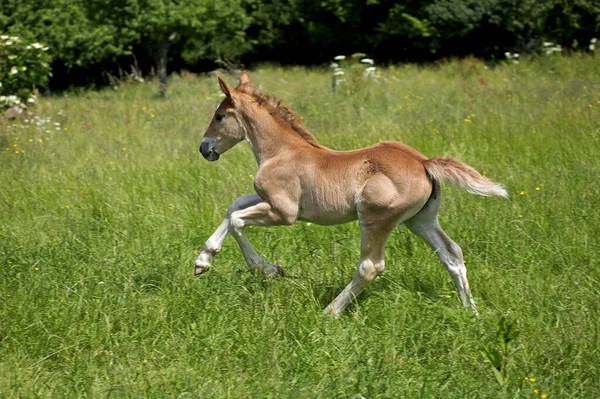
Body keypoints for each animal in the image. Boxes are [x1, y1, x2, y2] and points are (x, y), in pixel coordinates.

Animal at [196, 70, 506, 318]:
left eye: (219, 116)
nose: (204, 148)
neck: (282, 152)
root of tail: (423, 162)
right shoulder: (269, 201)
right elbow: (234, 206)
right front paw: (203, 261)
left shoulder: (284, 212)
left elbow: (237, 219)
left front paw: (267, 269)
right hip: (420, 220)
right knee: (451, 253)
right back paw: (472, 313)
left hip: (375, 218)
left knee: (370, 267)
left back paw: (330, 312)